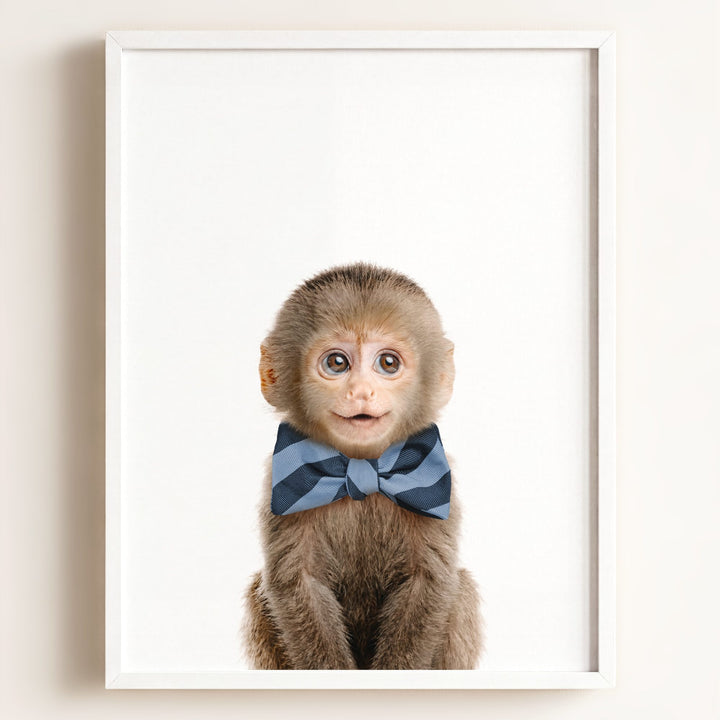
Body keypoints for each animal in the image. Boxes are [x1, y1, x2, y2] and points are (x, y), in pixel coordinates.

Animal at [243, 263, 482, 670]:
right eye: (337, 363)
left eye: (388, 363)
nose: (360, 392)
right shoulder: (280, 481)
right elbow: (297, 583)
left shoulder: (437, 479)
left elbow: (429, 582)